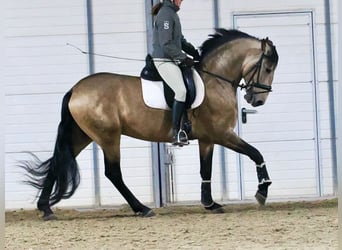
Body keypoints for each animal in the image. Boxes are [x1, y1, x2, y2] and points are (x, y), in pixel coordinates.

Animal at [21, 29, 278, 220]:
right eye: (267, 68)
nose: (257, 100)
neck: (215, 80)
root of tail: (75, 89)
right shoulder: (222, 134)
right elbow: (255, 153)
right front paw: (262, 190)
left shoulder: (208, 139)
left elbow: (206, 169)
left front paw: (210, 204)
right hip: (108, 137)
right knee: (113, 173)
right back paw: (142, 208)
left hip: (81, 136)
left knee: (59, 163)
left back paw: (45, 209)